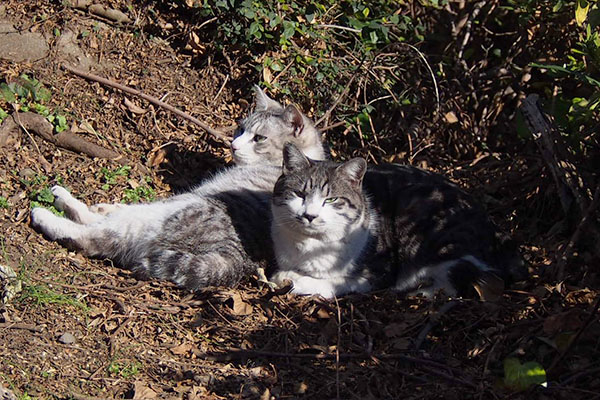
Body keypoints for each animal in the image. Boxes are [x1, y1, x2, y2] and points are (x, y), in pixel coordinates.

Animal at [29, 86, 326, 290]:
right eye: (240, 129)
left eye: (259, 138)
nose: (233, 145)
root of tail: (232, 258)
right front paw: (104, 206)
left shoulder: (196, 193)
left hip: (169, 213)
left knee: (94, 236)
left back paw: (50, 211)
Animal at [270, 143, 524, 296]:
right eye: (299, 194)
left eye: (331, 199)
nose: (309, 215)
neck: (309, 247)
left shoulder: (378, 273)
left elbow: (336, 282)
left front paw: (294, 279)